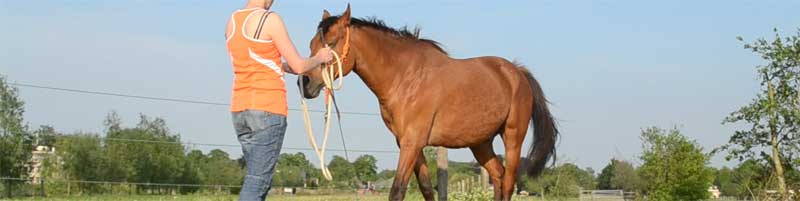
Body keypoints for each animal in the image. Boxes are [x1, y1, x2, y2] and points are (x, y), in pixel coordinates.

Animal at [298, 4, 556, 199]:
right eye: (311, 45)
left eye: (331, 44)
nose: (304, 83)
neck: (405, 77)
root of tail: (516, 72)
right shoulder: (409, 144)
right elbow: (426, 189)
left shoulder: (412, 143)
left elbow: (397, 190)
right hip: (481, 143)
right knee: (498, 176)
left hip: (512, 138)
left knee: (509, 181)